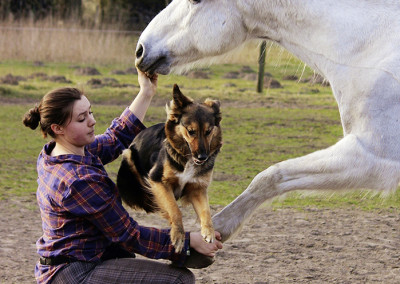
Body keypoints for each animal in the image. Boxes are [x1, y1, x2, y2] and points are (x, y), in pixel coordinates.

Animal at [116, 83, 222, 252]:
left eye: (208, 131)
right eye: (191, 131)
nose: (202, 157)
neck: (187, 158)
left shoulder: (197, 187)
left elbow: (206, 211)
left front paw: (208, 231)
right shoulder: (157, 180)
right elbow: (174, 209)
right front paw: (178, 235)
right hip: (128, 155)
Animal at [134, 0, 400, 244]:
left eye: (195, 1)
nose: (140, 49)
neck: (368, 48)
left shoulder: (372, 156)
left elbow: (270, 176)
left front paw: (215, 228)